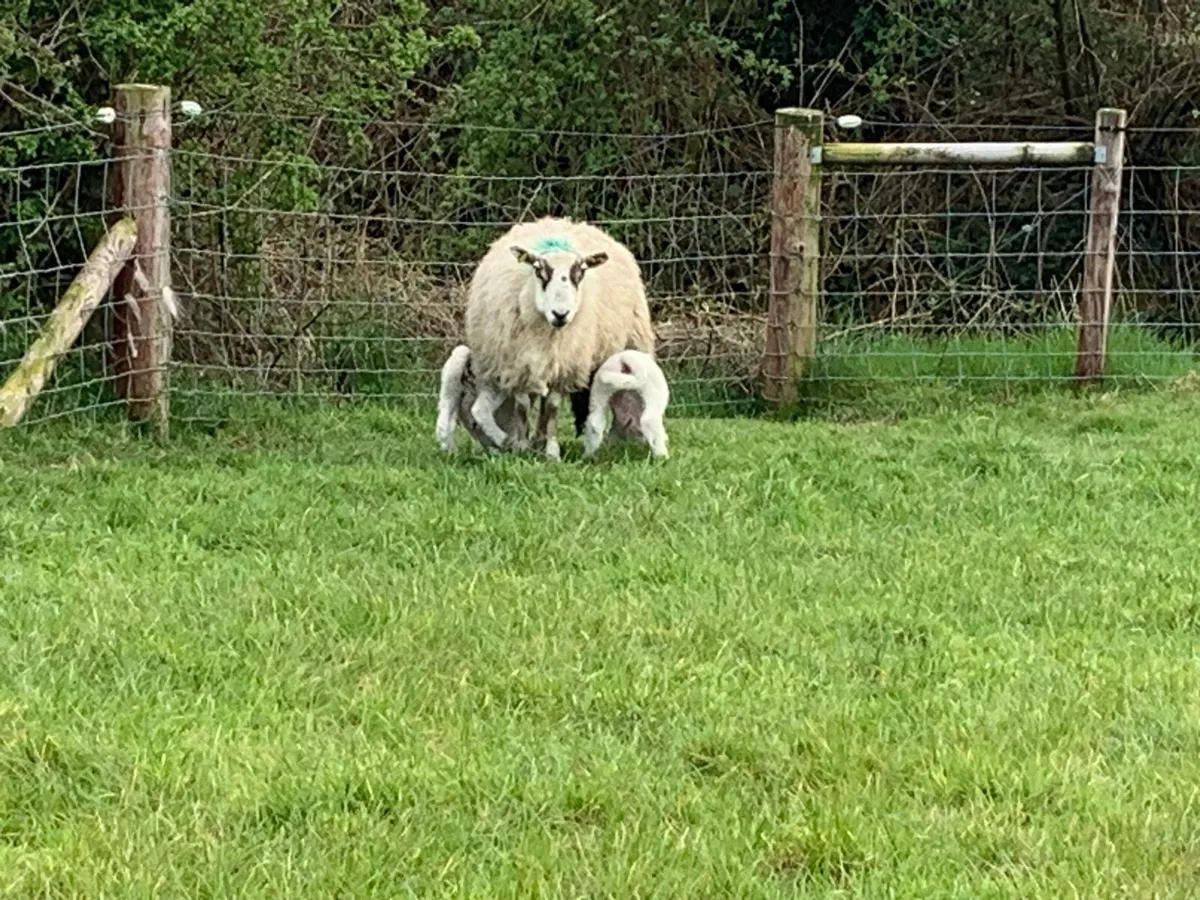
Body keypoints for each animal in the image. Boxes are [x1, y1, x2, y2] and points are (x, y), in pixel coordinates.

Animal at [463, 216, 655, 460]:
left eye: (580, 272)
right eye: (538, 270)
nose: (561, 314)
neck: (549, 333)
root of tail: (562, 221)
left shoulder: (564, 364)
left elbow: (552, 408)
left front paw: (551, 452)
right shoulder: (517, 364)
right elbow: (523, 406)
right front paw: (521, 447)